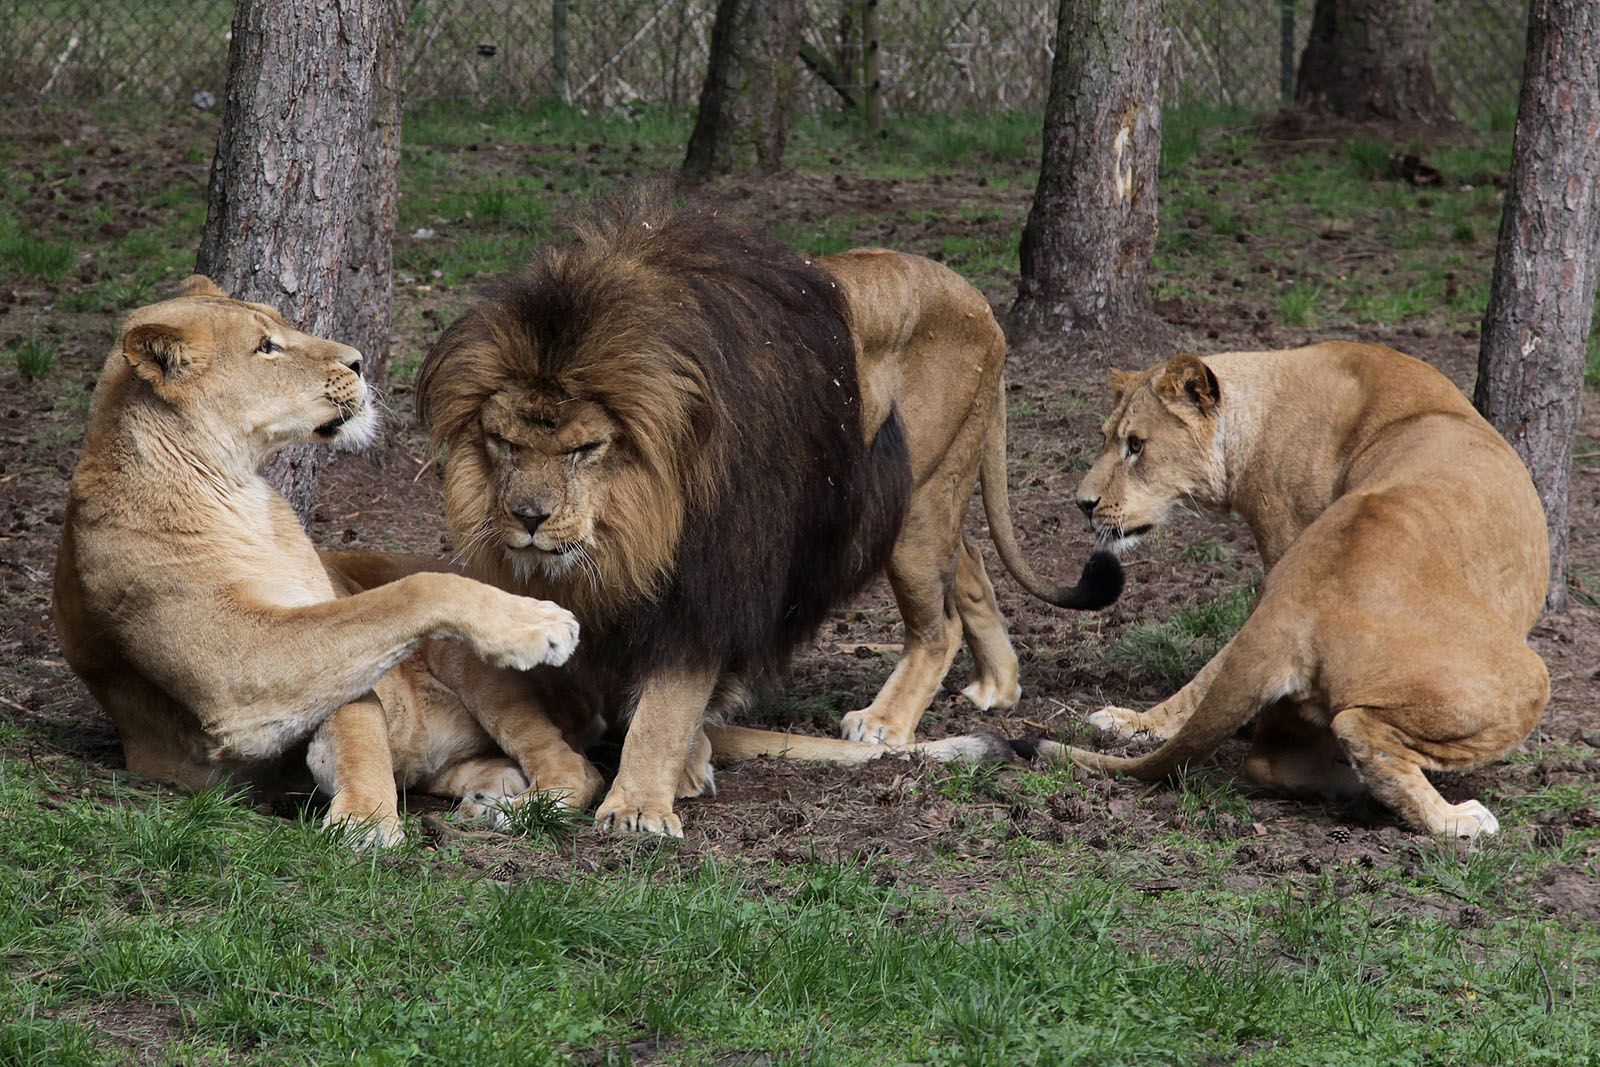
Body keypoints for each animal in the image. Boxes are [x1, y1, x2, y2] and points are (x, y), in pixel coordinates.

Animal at [56, 279, 598, 844]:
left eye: (279, 325)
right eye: (266, 347)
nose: (358, 361)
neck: (239, 494)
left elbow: (359, 716)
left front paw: (365, 814)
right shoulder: (237, 666)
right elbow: (412, 593)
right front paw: (536, 621)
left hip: (478, 675)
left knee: (578, 768)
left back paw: (514, 810)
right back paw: (493, 800)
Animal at [419, 198, 1120, 831]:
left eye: (584, 449)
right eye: (503, 442)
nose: (528, 517)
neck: (633, 524)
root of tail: (978, 301)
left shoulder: (716, 573)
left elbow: (668, 704)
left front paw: (641, 803)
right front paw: (683, 765)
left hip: (918, 499)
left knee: (938, 623)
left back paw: (886, 721)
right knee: (969, 562)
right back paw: (999, 684)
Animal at [1036, 347, 1548, 838]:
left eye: (1136, 445)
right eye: (1108, 438)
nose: (1082, 504)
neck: (1256, 418)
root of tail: (1299, 603)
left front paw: (1137, 723)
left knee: (1272, 760)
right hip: (1524, 677)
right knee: (1356, 729)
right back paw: (1450, 818)